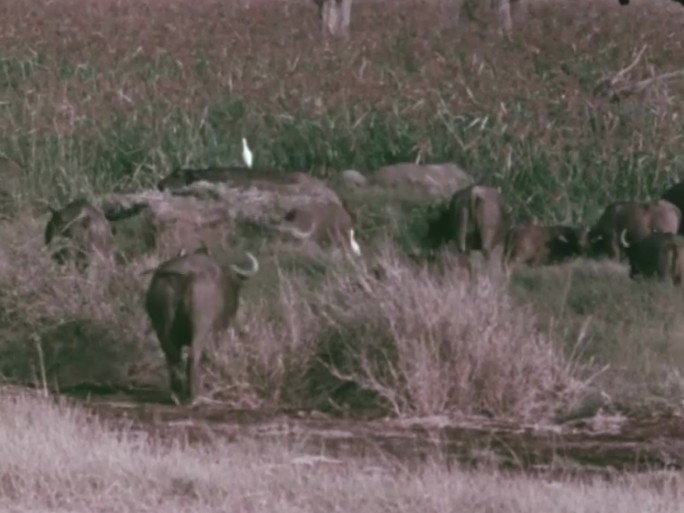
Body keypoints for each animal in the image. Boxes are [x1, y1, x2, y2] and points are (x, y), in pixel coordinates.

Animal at [144, 248, 260, 404]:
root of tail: (186, 273)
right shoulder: (218, 331)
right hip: (201, 327)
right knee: (194, 355)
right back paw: (194, 394)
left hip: (161, 325)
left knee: (172, 355)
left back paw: (177, 391)